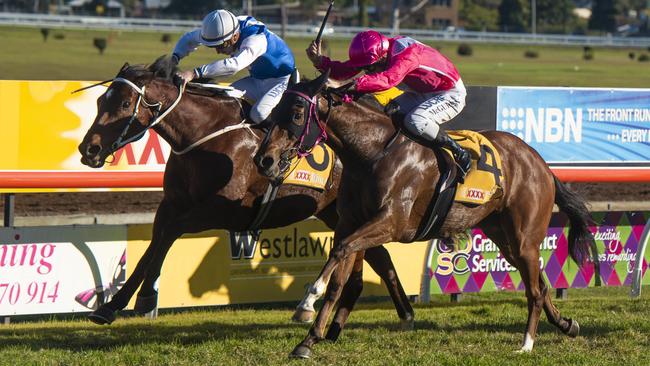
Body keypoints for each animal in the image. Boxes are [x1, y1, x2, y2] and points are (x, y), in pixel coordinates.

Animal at [76, 57, 410, 332]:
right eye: (100, 101)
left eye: (124, 104)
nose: (88, 149)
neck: (203, 135)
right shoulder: (171, 204)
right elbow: (153, 244)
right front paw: (110, 306)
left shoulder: (224, 210)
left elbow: (168, 234)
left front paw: (146, 297)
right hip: (337, 211)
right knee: (379, 255)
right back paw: (404, 312)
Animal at [252, 71, 592, 358]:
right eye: (275, 110)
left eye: (296, 113)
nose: (263, 160)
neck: (372, 153)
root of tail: (540, 162)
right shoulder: (349, 222)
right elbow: (339, 275)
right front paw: (308, 340)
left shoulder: (391, 223)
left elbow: (341, 252)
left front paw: (307, 302)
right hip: (503, 236)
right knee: (541, 284)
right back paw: (566, 324)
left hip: (524, 237)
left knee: (534, 290)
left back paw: (527, 343)